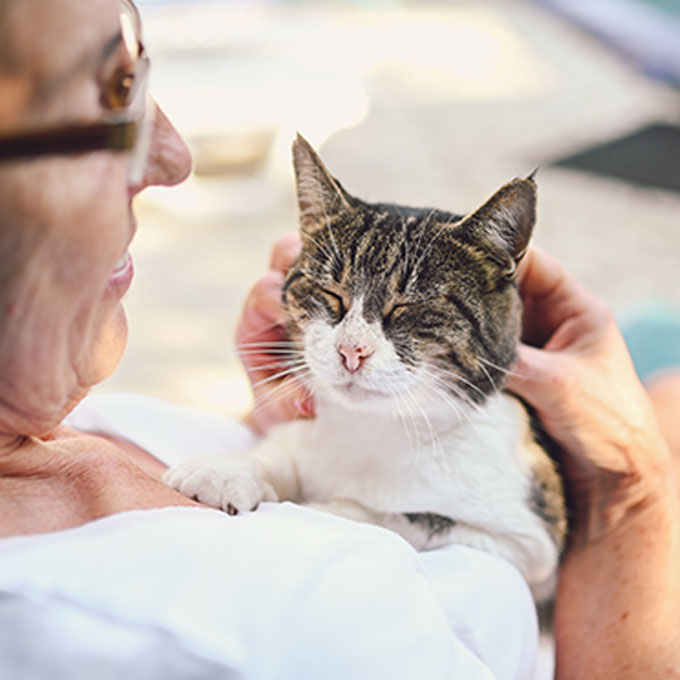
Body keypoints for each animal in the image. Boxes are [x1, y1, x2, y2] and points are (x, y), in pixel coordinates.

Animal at [166, 135, 568, 604]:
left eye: (408, 307)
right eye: (330, 293)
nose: (351, 351)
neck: (376, 427)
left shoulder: (529, 547)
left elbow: (405, 518)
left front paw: (319, 509)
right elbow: (283, 451)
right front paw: (229, 469)